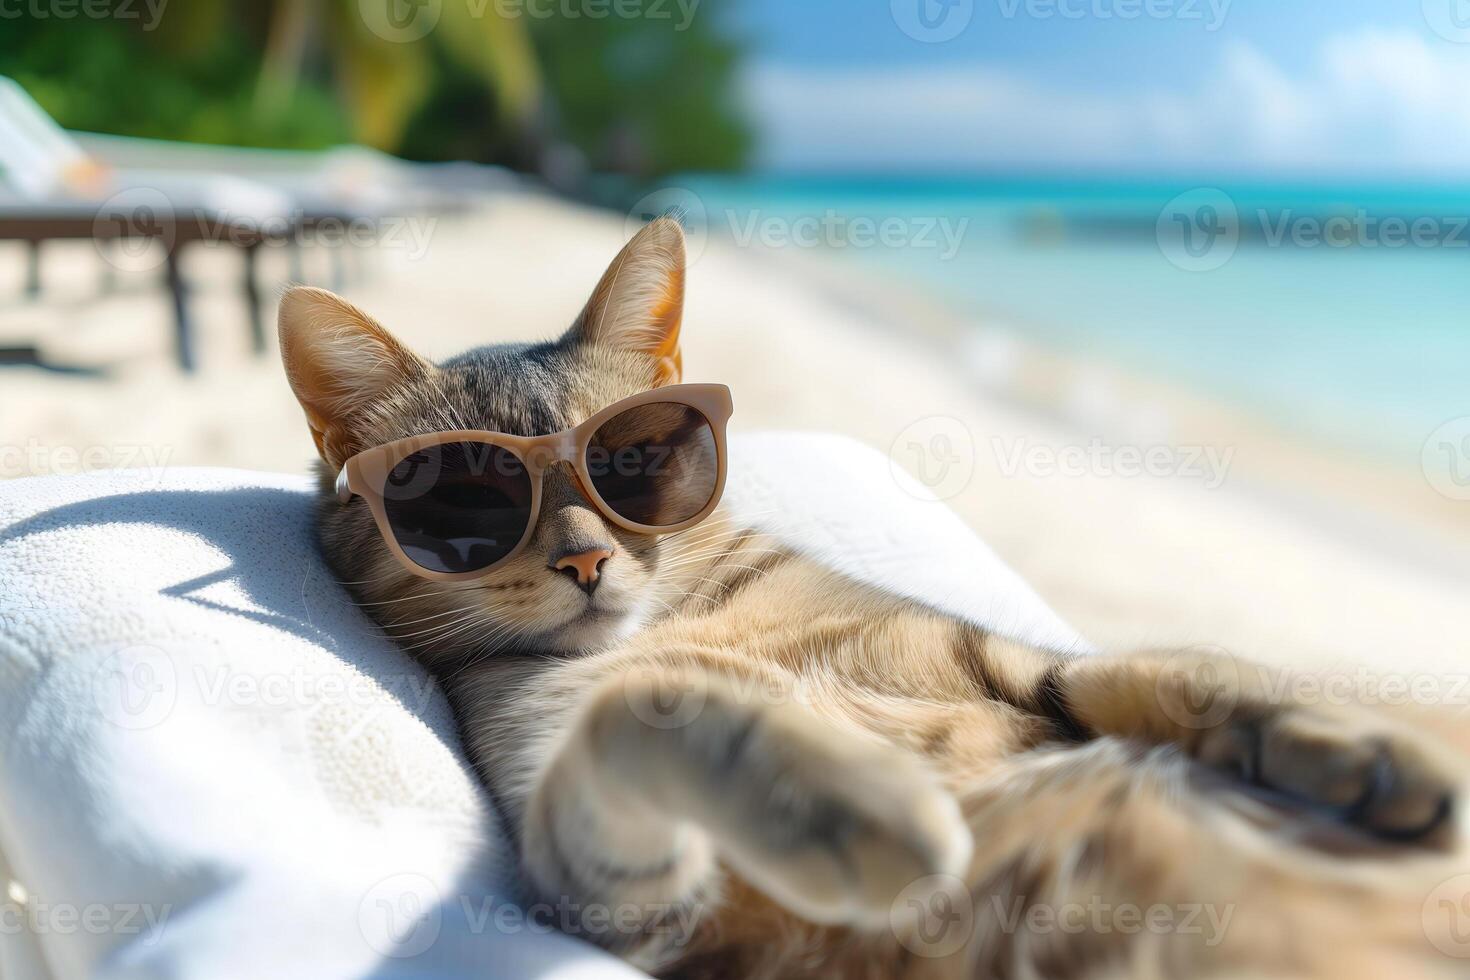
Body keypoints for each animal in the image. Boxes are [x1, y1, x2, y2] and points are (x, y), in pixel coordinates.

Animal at [280, 221, 1464, 980]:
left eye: (632, 459)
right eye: (466, 501)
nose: (585, 559)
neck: (697, 622)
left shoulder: (1014, 658)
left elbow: (1163, 668)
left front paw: (1368, 748)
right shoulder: (625, 895)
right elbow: (641, 713)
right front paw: (857, 803)